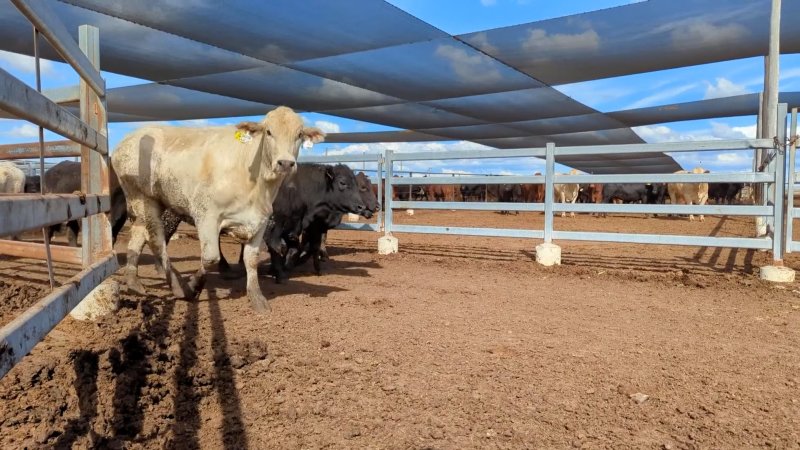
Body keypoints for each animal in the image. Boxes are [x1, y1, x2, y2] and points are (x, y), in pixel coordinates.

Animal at [111, 106, 324, 312]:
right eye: (269, 132)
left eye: (299, 134)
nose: (285, 163)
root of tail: (130, 138)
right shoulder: (206, 215)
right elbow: (210, 257)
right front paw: (193, 287)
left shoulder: (261, 221)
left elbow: (251, 259)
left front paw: (257, 298)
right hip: (143, 198)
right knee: (156, 241)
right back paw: (177, 286)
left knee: (138, 236)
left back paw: (133, 282)